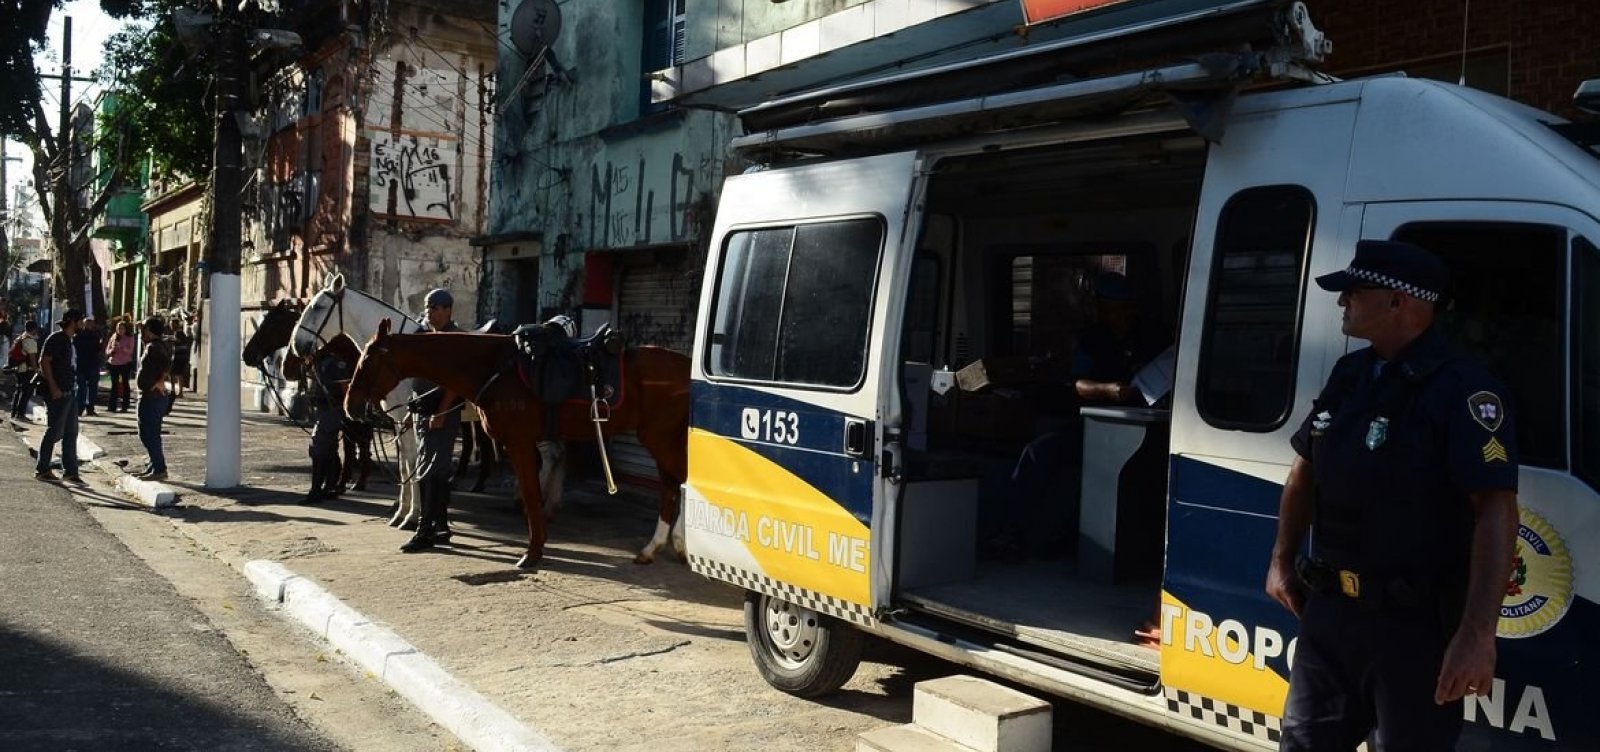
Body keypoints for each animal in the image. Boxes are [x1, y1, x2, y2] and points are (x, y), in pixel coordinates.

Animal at [291, 276, 572, 528]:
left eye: (318, 307)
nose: (296, 346)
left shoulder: (411, 419)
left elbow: (414, 463)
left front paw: (411, 516)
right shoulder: (399, 422)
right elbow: (406, 464)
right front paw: (401, 512)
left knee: (552, 456)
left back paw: (536, 507)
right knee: (557, 455)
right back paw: (544, 505)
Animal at [347, 316, 691, 569]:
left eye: (366, 362)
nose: (350, 405)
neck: (493, 366)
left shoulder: (520, 442)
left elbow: (530, 492)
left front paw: (533, 552)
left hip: (661, 437)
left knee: (680, 484)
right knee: (673, 486)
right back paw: (658, 547)